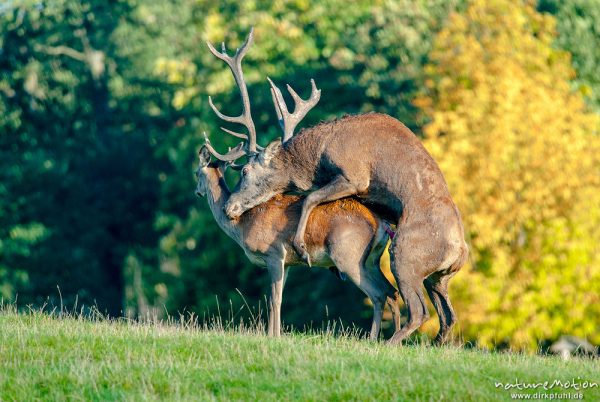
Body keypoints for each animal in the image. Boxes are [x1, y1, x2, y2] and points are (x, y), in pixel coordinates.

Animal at [198, 146, 404, 338]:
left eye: (196, 173)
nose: (197, 191)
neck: (241, 226)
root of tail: (382, 223)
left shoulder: (274, 254)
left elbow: (274, 299)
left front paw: (273, 336)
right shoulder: (288, 263)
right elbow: (278, 297)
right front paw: (275, 334)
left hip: (348, 256)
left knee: (378, 294)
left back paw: (372, 338)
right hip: (372, 260)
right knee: (391, 292)